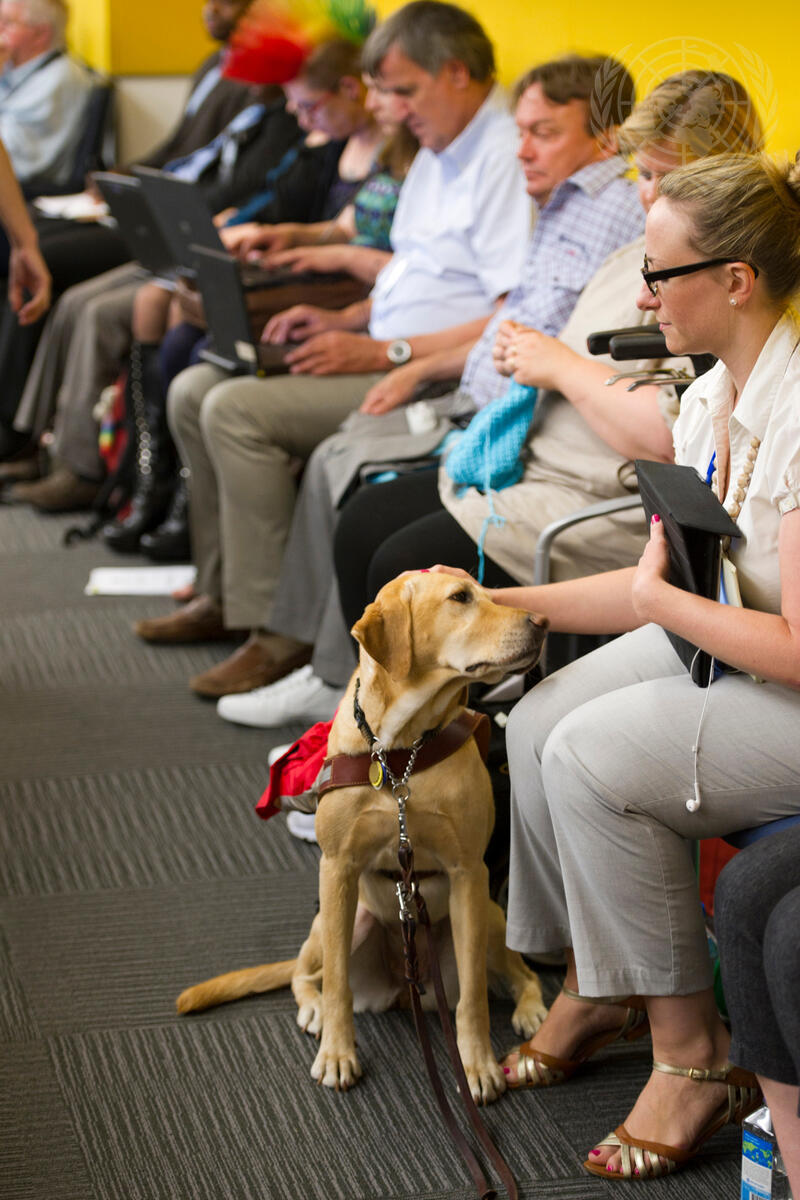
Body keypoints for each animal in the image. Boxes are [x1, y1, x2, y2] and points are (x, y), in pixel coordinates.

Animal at [177, 571, 549, 1103]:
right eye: (460, 598)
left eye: (493, 594)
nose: (543, 621)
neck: (401, 749)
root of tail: (403, 988)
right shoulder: (337, 869)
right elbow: (337, 984)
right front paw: (337, 1053)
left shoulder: (468, 875)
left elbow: (474, 998)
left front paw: (476, 1064)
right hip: (345, 922)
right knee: (305, 973)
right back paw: (312, 1008)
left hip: (491, 920)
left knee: (520, 974)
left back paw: (531, 1009)